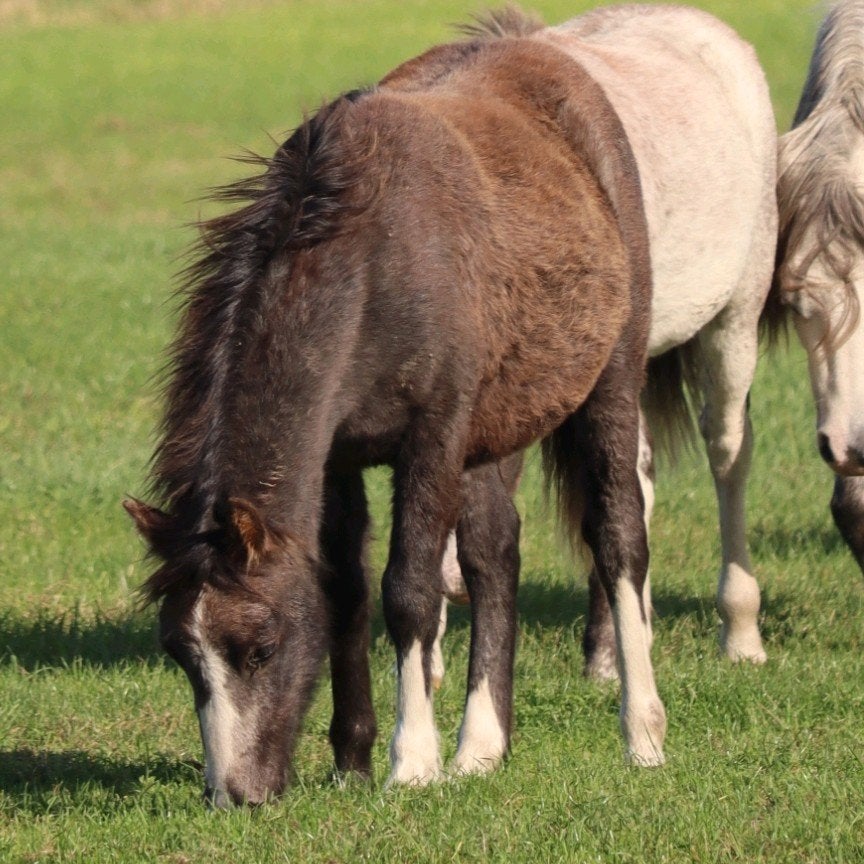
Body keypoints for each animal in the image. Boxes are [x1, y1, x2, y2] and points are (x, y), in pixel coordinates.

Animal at [125, 6, 666, 806]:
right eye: (182, 656)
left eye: (259, 648)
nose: (235, 796)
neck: (373, 264)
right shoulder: (337, 459)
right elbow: (346, 590)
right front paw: (352, 758)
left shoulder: (431, 439)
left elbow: (408, 590)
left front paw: (411, 762)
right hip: (490, 433)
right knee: (494, 551)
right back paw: (481, 747)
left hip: (611, 383)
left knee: (618, 535)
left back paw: (642, 732)